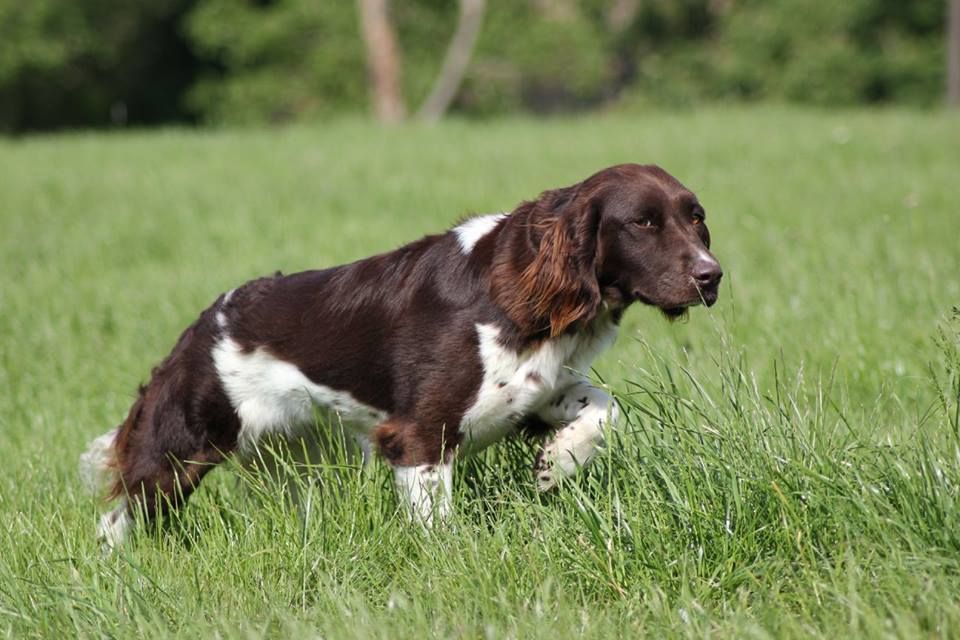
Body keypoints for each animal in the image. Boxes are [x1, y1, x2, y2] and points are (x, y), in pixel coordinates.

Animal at [79, 164, 720, 544]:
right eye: (642, 222)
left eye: (697, 218)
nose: (712, 277)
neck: (516, 289)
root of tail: (203, 322)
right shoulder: (418, 433)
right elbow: (437, 523)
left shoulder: (529, 393)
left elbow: (605, 408)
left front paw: (556, 463)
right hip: (181, 449)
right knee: (118, 517)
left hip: (294, 459)